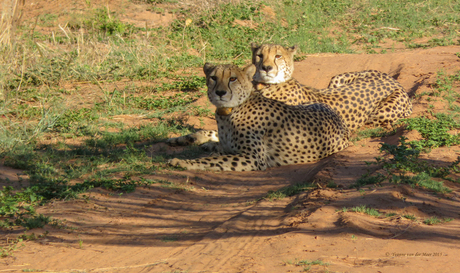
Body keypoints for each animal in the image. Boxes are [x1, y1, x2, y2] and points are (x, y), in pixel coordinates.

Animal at [169, 63, 348, 170]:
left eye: (232, 78)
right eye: (213, 78)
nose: (220, 92)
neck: (228, 113)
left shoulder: (253, 158)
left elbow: (213, 161)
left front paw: (183, 162)